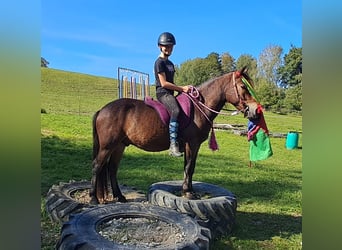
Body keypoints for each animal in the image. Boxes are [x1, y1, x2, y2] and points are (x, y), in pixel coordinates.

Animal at [89, 67, 258, 205]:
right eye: (243, 86)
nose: (255, 110)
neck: (198, 108)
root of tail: (102, 110)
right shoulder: (192, 144)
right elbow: (189, 167)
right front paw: (188, 193)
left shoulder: (192, 146)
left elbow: (189, 167)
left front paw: (188, 190)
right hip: (107, 146)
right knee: (97, 166)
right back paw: (93, 198)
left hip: (119, 145)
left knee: (112, 168)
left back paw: (119, 196)